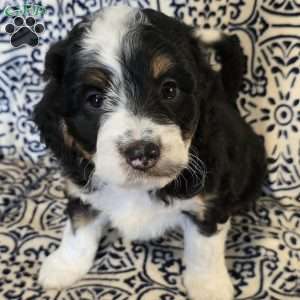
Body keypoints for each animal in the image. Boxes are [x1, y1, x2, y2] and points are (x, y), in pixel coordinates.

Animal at [34, 5, 266, 300]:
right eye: (94, 100)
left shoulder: (209, 200)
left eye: (170, 89)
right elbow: (79, 225)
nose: (142, 151)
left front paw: (209, 286)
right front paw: (65, 265)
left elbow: (204, 248)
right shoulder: (81, 185)